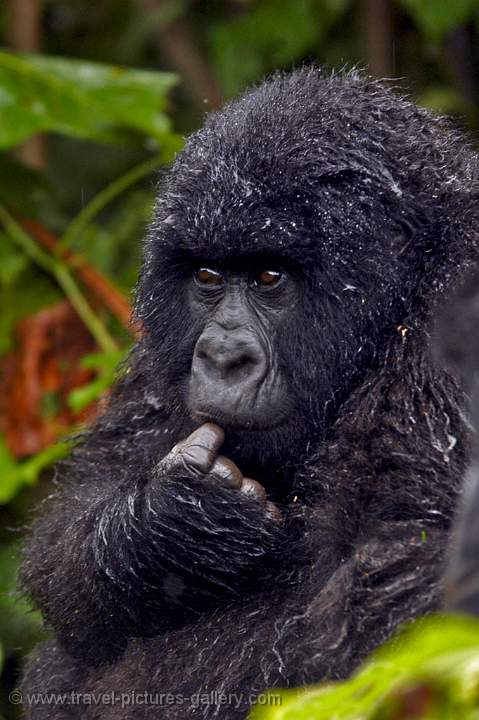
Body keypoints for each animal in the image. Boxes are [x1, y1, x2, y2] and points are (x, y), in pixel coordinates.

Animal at [19, 69, 479, 720]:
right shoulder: (158, 358)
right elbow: (67, 549)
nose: (221, 357)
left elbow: (400, 589)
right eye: (208, 277)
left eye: (269, 277)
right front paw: (174, 523)